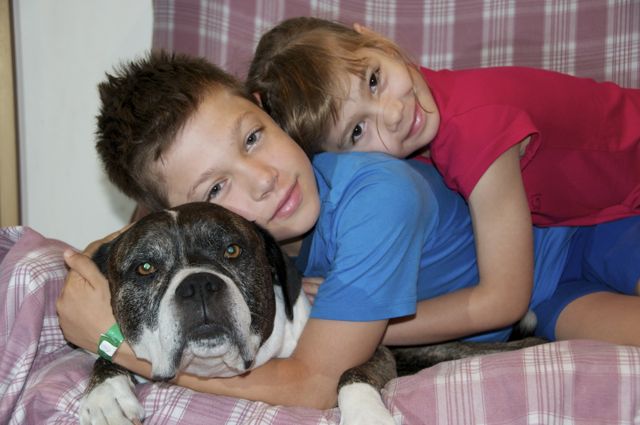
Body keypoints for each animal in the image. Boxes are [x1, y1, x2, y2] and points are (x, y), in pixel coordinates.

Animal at [78, 202, 545, 425]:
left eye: (232, 250)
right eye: (145, 268)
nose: (198, 285)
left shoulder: (374, 356)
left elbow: (349, 375)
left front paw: (367, 417)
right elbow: (105, 360)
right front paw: (105, 395)